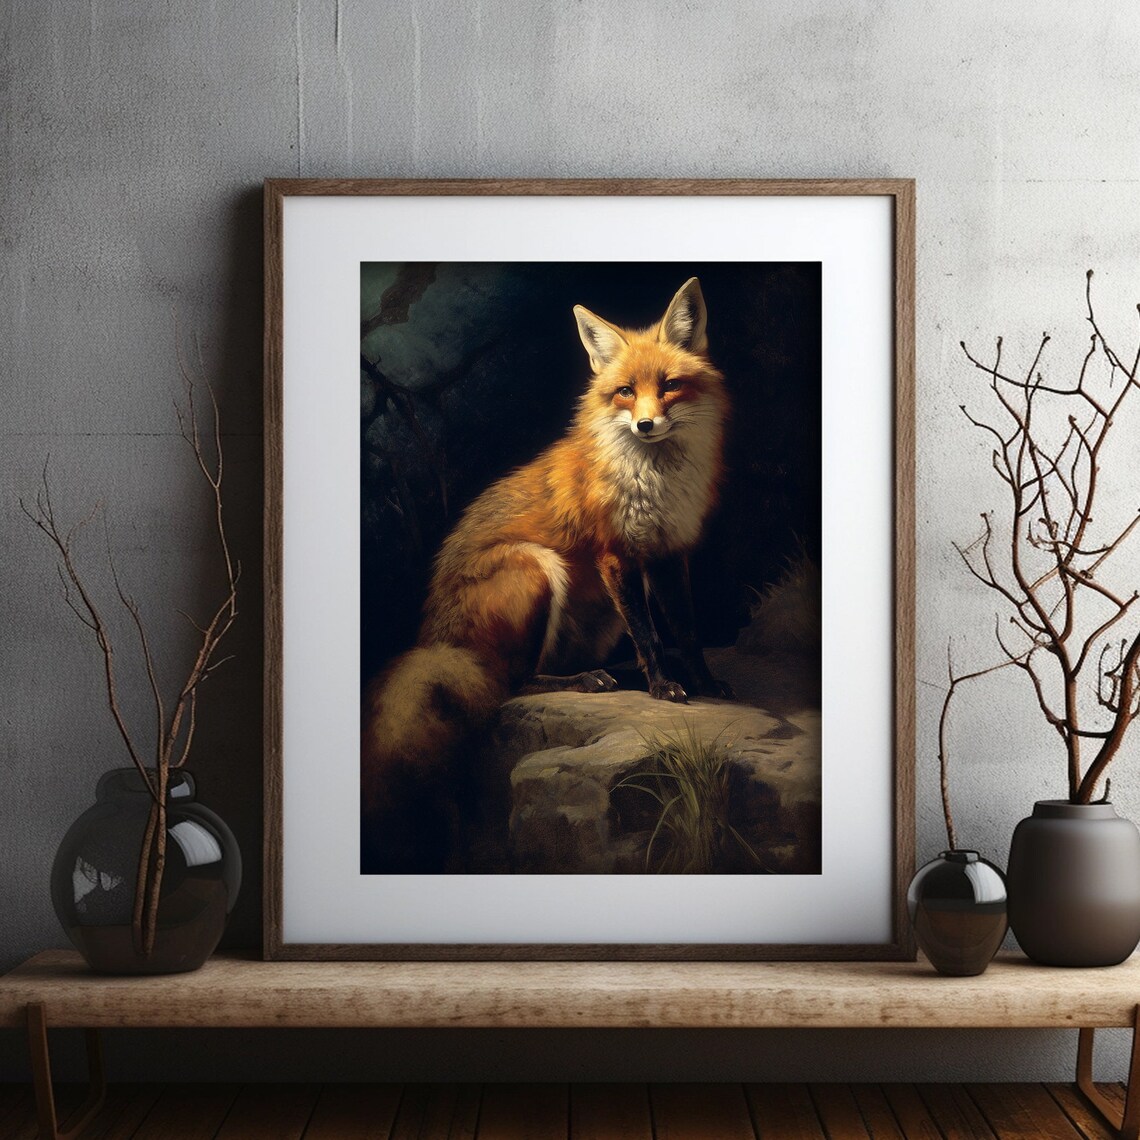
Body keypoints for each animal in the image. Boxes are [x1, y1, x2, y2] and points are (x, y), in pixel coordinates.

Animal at [362, 276, 733, 871]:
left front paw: (700, 681)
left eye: (670, 386)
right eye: (625, 391)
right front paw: (663, 687)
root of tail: (433, 640)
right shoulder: (615, 555)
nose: (646, 424)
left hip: (596, 614)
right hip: (535, 568)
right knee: (509, 685)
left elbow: (686, 631)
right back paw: (584, 682)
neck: (653, 480)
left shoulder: (670, 554)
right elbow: (650, 635)